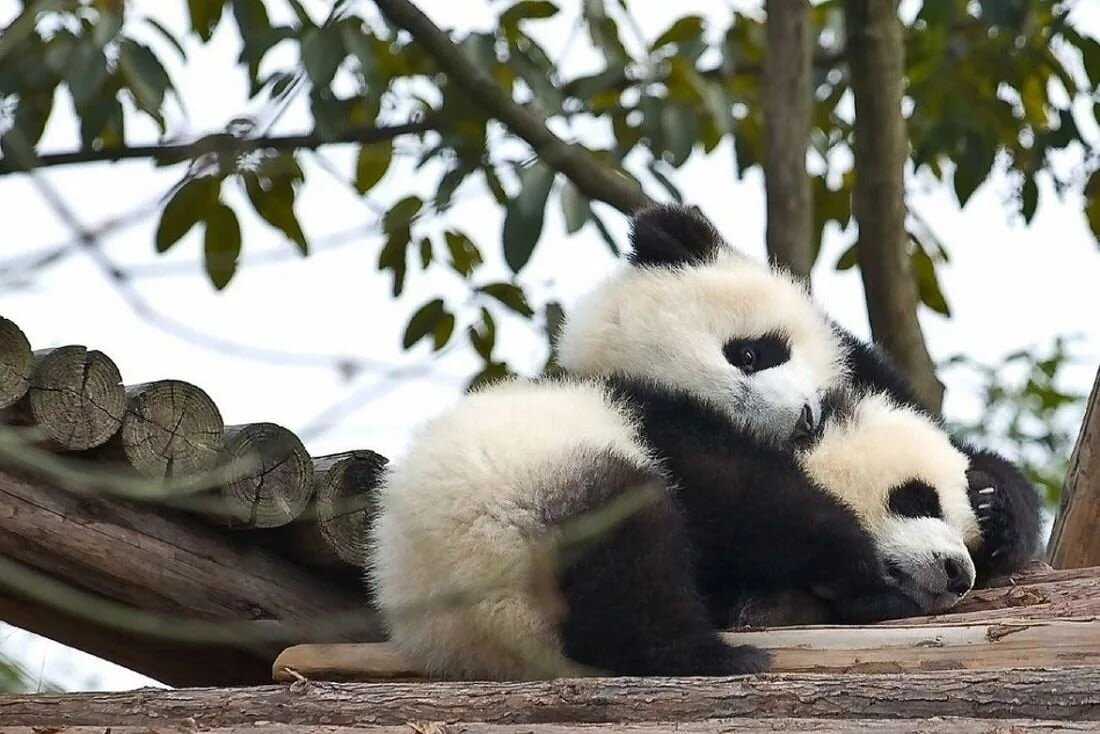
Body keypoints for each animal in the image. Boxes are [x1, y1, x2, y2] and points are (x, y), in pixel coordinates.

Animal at [367, 203, 1038, 682]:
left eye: (754, 352)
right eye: (914, 498)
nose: (958, 572)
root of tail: (469, 632)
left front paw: (996, 506)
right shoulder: (667, 432)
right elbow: (748, 502)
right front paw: (862, 576)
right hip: (528, 503)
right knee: (628, 557)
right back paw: (706, 653)